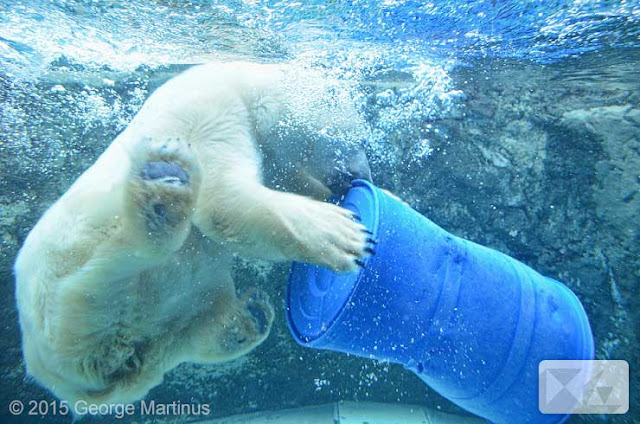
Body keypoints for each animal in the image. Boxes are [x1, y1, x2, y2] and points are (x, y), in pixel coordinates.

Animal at [13, 61, 376, 406]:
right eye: (360, 141)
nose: (364, 175)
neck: (243, 87)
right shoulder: (211, 111)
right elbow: (221, 201)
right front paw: (341, 233)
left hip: (174, 318)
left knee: (189, 329)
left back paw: (249, 318)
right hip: (71, 258)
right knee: (126, 252)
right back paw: (161, 199)